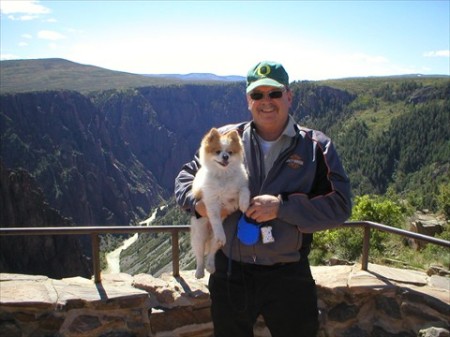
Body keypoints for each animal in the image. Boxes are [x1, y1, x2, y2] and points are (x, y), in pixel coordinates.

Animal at [192, 127, 251, 276]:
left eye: (230, 152)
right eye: (218, 151)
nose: (225, 157)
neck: (223, 175)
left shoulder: (240, 186)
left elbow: (244, 191)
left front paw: (244, 204)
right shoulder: (212, 202)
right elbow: (216, 221)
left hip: (215, 241)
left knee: (212, 252)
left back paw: (210, 266)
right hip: (199, 235)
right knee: (200, 254)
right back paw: (200, 271)